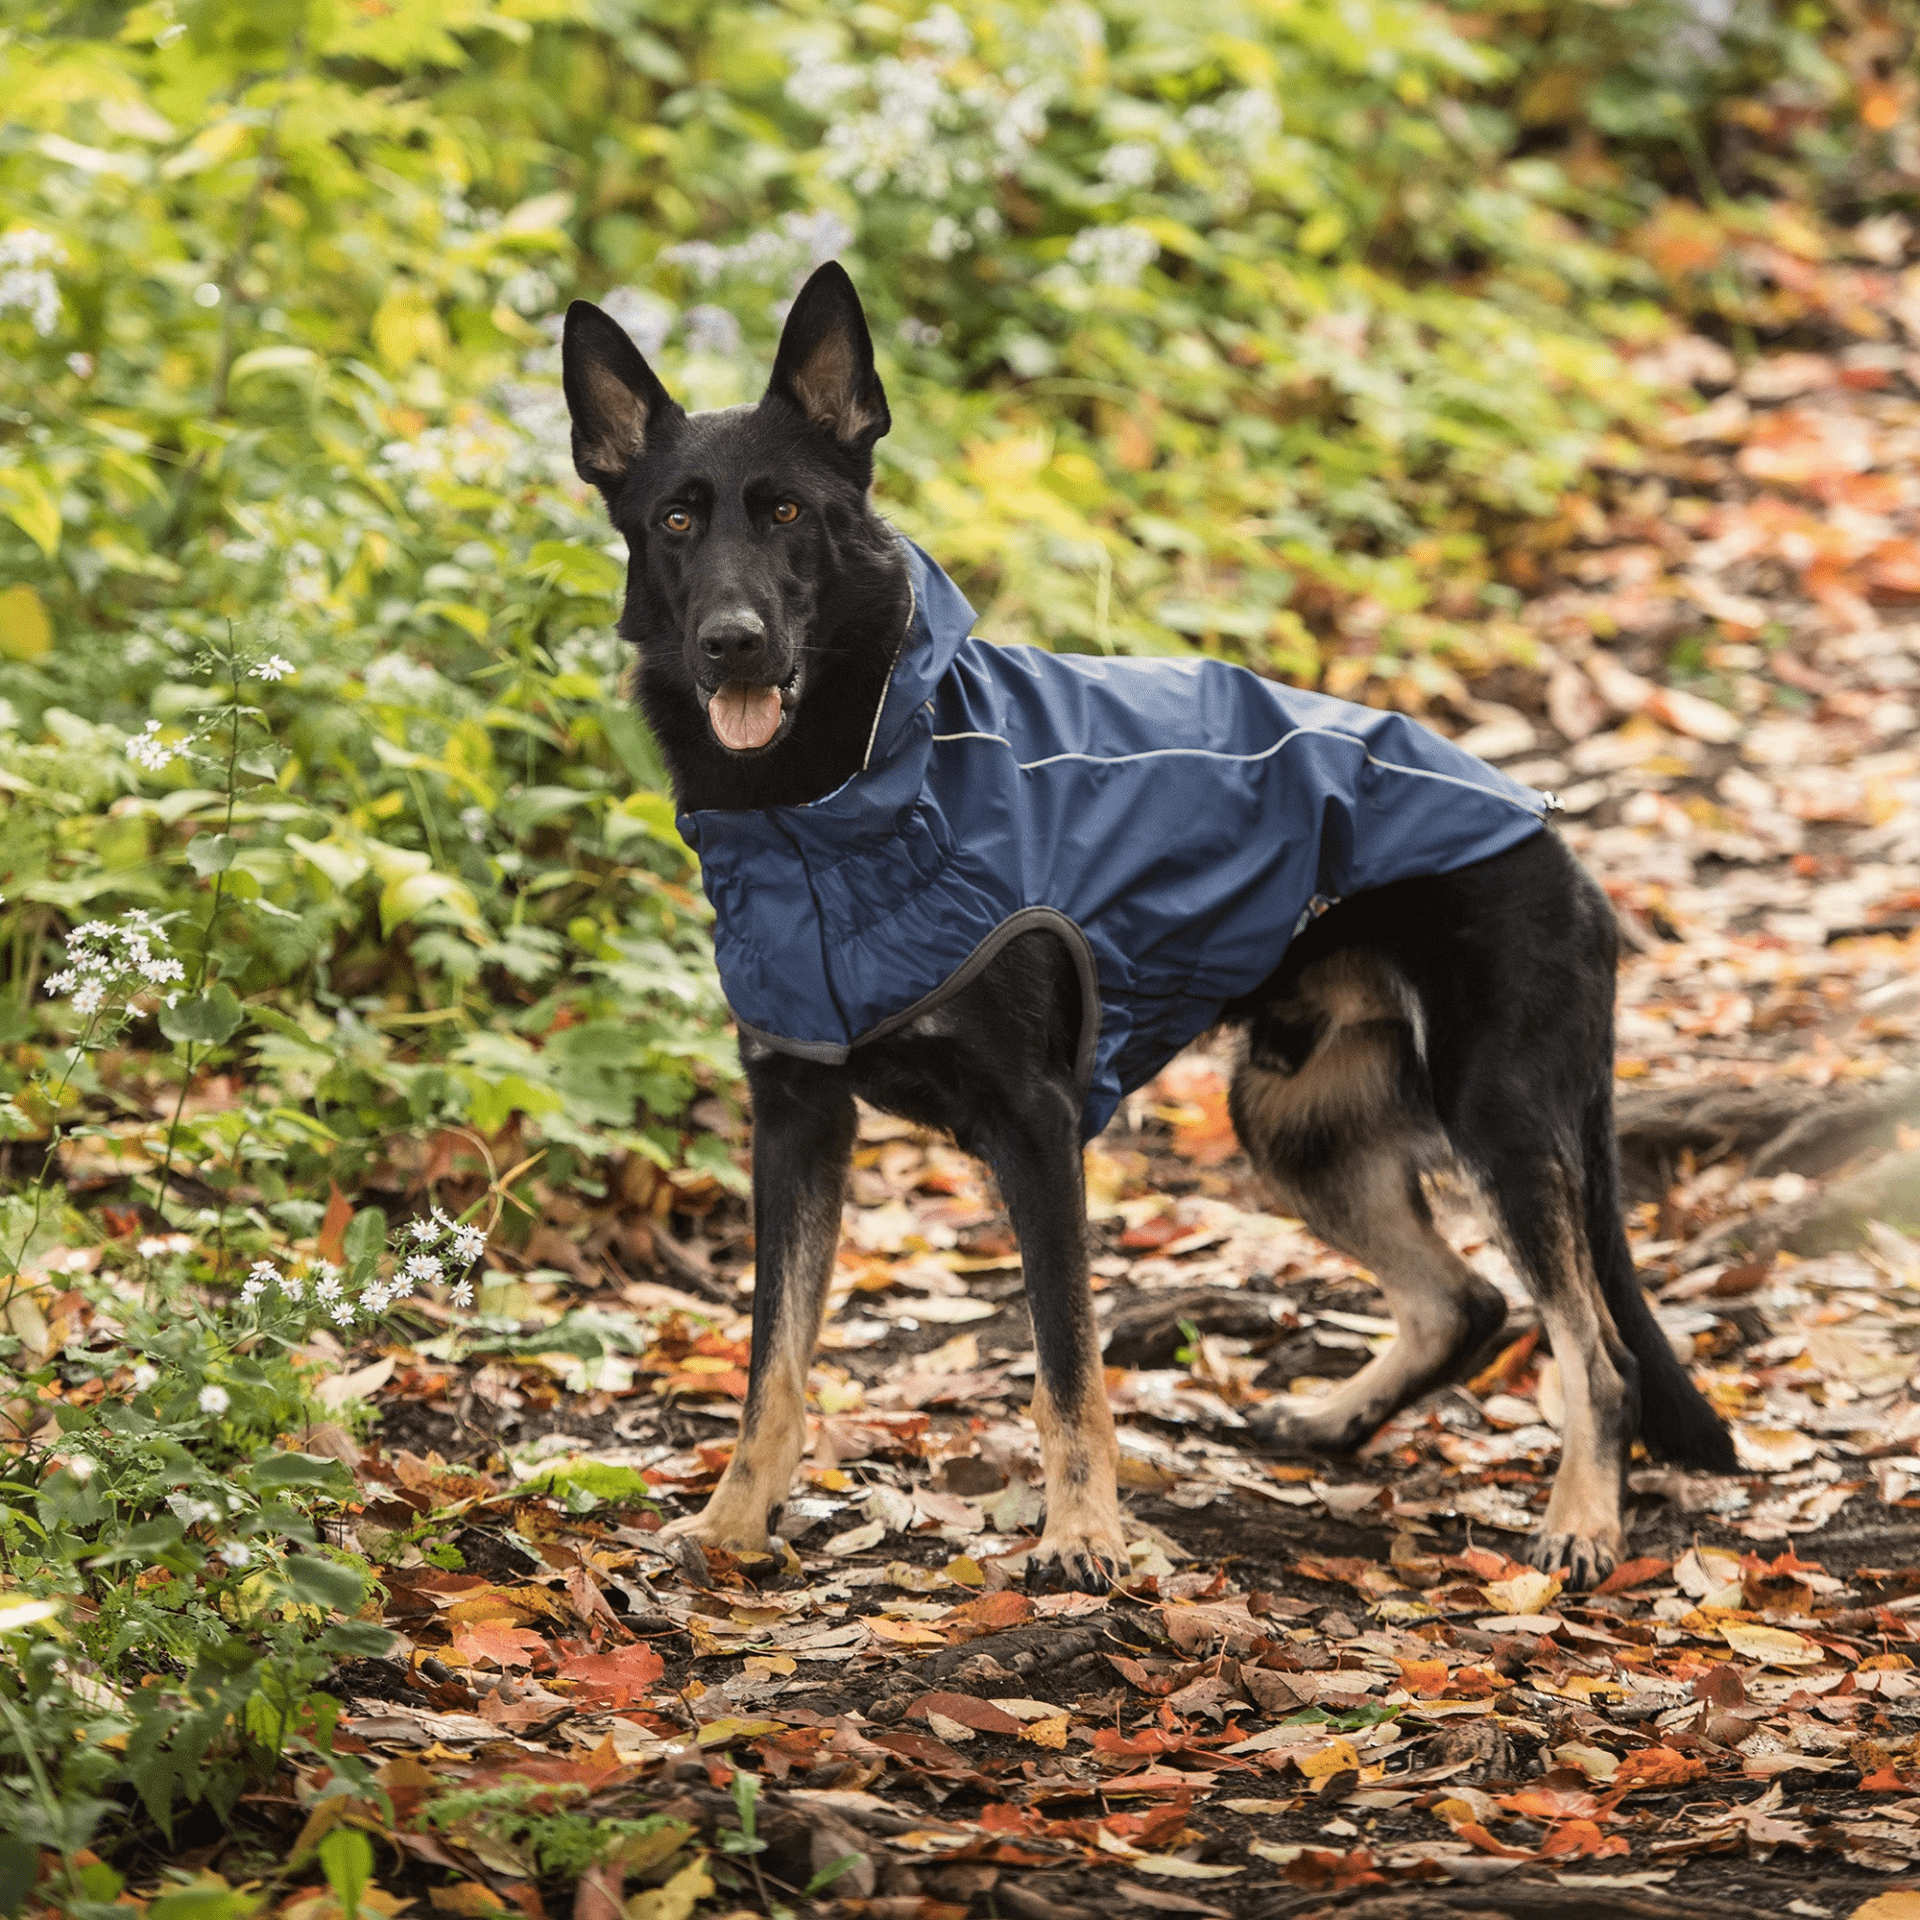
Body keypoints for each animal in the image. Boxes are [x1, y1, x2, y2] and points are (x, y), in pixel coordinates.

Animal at [560, 263, 1743, 1597]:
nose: (732, 643)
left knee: (1600, 1353)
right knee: (1467, 1306)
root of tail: (1554, 837)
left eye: (786, 513)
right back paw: (1336, 1418)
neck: (834, 807)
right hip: (1293, 1123)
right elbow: (775, 1362)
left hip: (1493, 1116)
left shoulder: (1035, 1126)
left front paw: (1083, 1538)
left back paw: (1583, 1519)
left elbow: (1067, 1368)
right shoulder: (797, 1120)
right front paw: (732, 1523)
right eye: (675, 521)